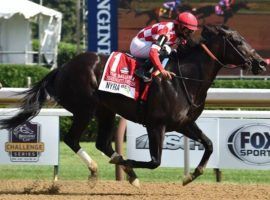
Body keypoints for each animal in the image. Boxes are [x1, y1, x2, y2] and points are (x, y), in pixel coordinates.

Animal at [0, 24, 266, 186]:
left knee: (102, 143)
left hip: (106, 111)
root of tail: (61, 68)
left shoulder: (184, 123)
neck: (185, 79)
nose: (261, 63)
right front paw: (127, 163)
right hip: (85, 109)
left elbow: (209, 144)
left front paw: (190, 176)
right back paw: (99, 169)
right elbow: (155, 161)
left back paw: (128, 173)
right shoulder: (156, 125)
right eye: (236, 41)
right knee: (72, 139)